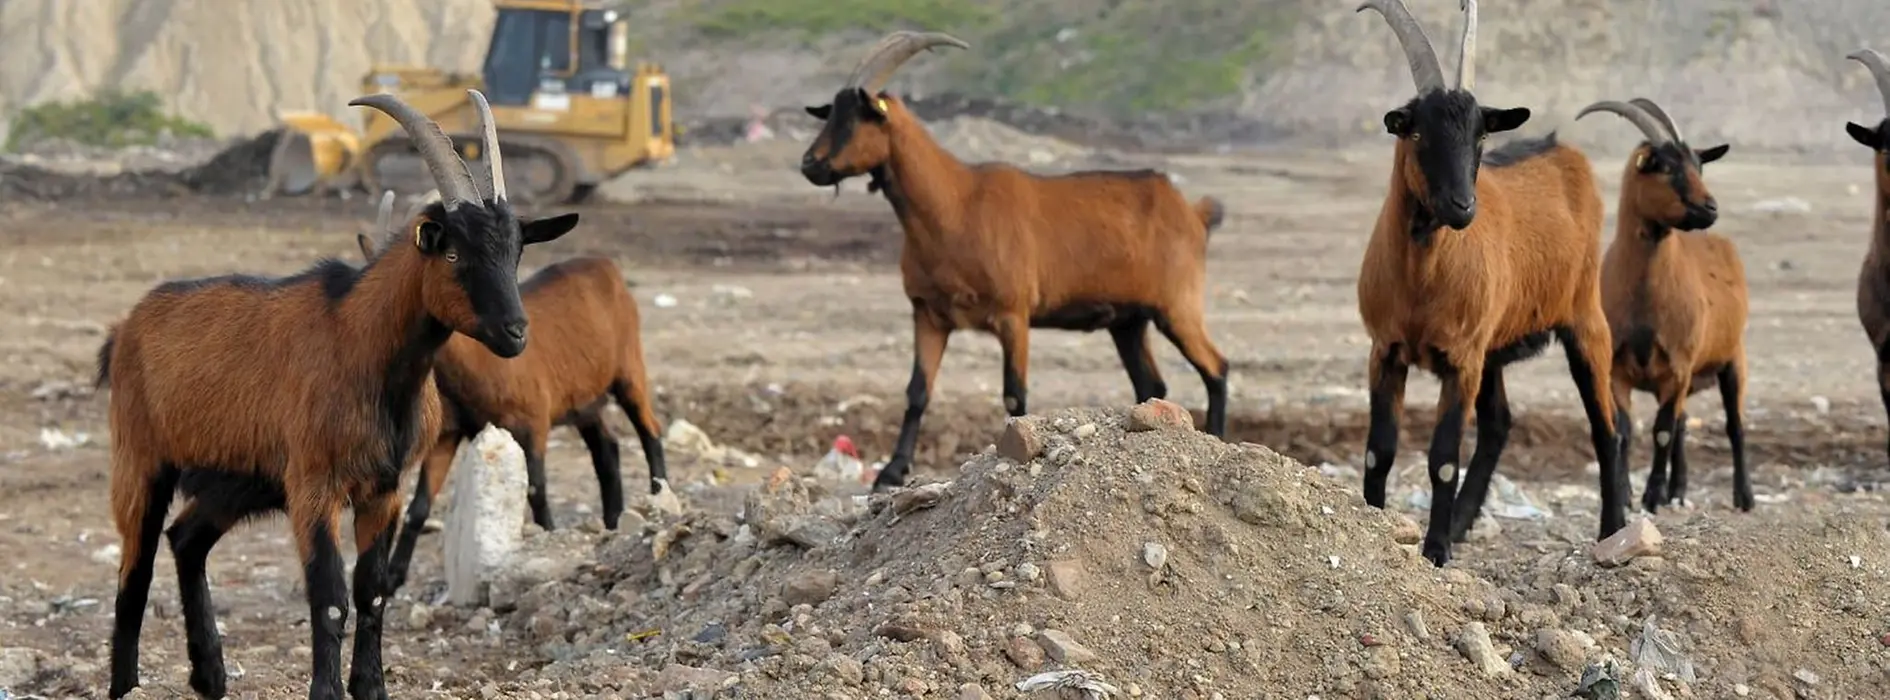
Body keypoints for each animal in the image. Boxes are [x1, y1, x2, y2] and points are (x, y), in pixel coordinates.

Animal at [100, 90, 577, 700]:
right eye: (453, 255)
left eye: (515, 252)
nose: (515, 331)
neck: (360, 345)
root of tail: (126, 328)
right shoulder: (315, 486)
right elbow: (329, 597)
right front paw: (326, 691)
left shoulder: (383, 490)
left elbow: (372, 590)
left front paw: (371, 687)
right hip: (141, 460)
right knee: (132, 573)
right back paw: (127, 684)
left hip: (241, 480)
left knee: (186, 539)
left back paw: (210, 675)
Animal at [352, 193, 672, 590]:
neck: (475, 367)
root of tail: (606, 266)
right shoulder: (449, 432)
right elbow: (419, 505)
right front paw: (394, 577)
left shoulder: (532, 423)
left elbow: (536, 491)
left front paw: (547, 539)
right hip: (584, 401)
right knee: (607, 448)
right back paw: (612, 522)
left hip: (629, 370)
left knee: (650, 431)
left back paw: (659, 500)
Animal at [799, 30, 1231, 489]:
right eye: (830, 113)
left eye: (856, 117)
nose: (809, 163)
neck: (955, 205)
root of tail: (1192, 211)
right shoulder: (928, 314)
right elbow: (917, 390)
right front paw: (893, 471)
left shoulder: (1013, 314)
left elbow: (1014, 393)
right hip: (1128, 322)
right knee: (1153, 382)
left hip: (1177, 305)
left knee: (1216, 367)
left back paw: (1219, 439)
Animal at [1353, 0, 1625, 566]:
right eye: (1416, 132)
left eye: (1480, 134)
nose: (1462, 207)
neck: (1421, 282)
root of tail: (1562, 151)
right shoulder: (1386, 349)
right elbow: (1378, 451)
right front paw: (1375, 525)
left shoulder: (1462, 359)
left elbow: (1442, 458)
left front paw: (1435, 550)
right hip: (1495, 348)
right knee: (1500, 423)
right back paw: (1461, 521)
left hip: (1584, 321)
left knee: (1606, 429)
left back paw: (1613, 531)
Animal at [1580, 98, 1750, 514]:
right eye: (1668, 167)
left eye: (1699, 165)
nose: (1710, 207)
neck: (1645, 302)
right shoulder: (1617, 369)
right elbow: (1627, 431)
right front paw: (1625, 494)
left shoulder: (1678, 366)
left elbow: (1661, 432)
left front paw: (1653, 495)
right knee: (1684, 424)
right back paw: (1680, 490)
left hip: (1732, 359)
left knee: (1734, 426)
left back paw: (1744, 496)